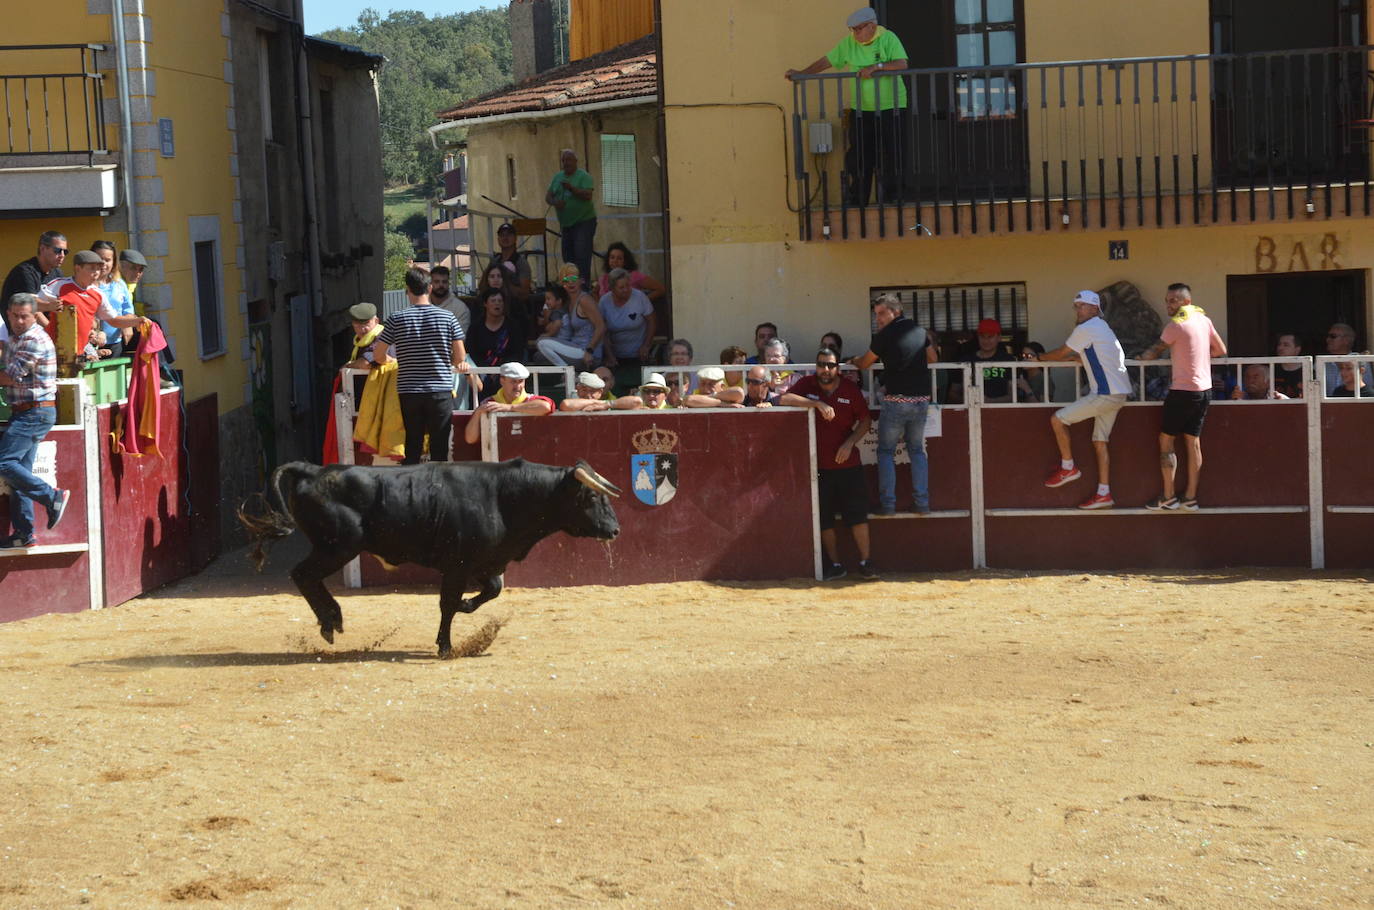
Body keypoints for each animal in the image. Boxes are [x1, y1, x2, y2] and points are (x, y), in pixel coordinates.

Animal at [239, 459, 621, 659]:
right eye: (591, 497)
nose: (615, 530)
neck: (504, 497)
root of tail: (312, 470)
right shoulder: (457, 566)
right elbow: (447, 603)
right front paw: (446, 646)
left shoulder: (485, 563)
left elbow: (492, 590)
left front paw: (468, 608)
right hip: (337, 547)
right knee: (302, 575)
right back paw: (330, 621)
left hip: (334, 549)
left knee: (306, 577)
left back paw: (332, 620)